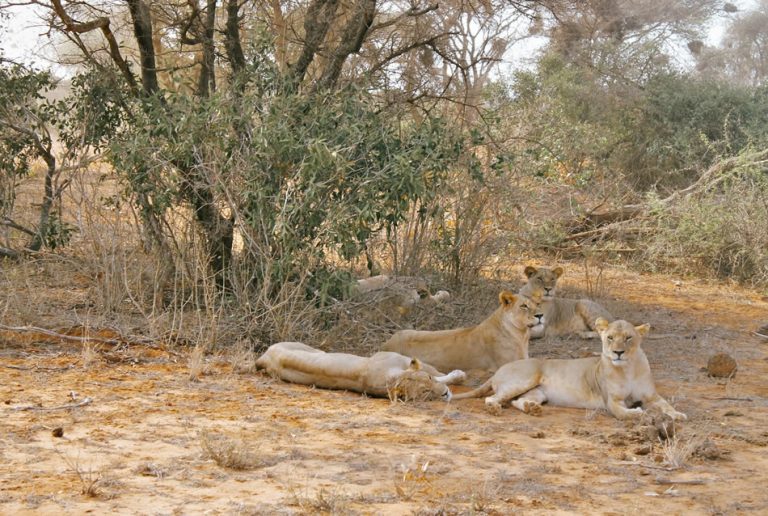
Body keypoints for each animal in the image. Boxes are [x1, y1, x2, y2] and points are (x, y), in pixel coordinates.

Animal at [255, 342, 464, 404]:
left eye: (428, 381)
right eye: (425, 392)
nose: (445, 393)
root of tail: (264, 357)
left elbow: (435, 372)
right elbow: (439, 373)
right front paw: (458, 375)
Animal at [452, 316, 688, 422]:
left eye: (629, 338)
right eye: (610, 338)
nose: (618, 353)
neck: (628, 368)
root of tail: (501, 369)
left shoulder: (651, 396)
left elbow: (666, 405)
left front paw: (678, 414)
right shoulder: (612, 402)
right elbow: (625, 413)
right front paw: (639, 413)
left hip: (537, 392)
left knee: (516, 401)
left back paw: (532, 408)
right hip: (526, 377)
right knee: (493, 398)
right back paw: (495, 408)